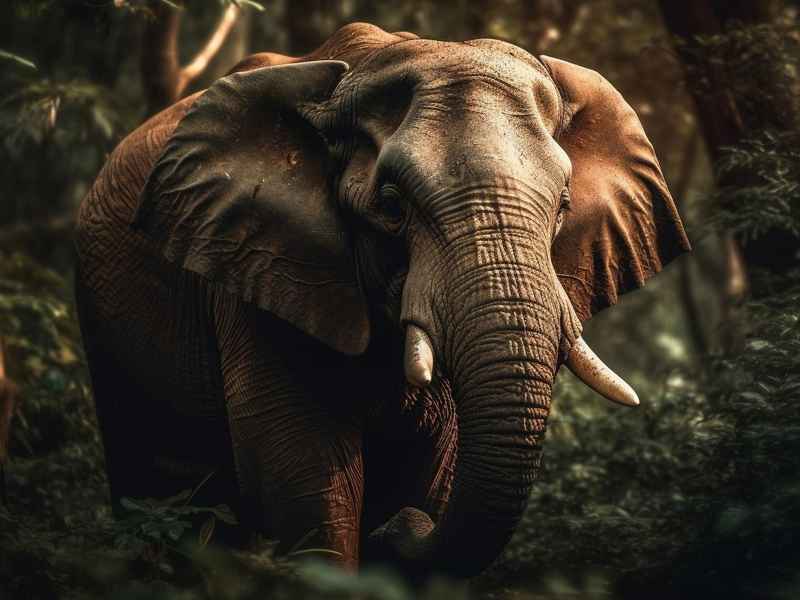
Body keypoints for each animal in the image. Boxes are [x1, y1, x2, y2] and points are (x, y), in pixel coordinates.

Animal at [74, 23, 690, 577]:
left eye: (563, 206)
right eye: (391, 206)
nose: (400, 528)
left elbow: (439, 464)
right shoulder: (259, 265)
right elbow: (302, 473)